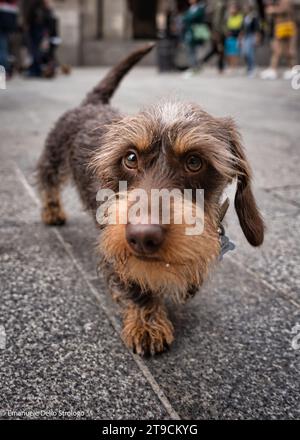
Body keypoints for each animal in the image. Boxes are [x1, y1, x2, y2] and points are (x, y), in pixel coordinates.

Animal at [38, 43, 264, 354]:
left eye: (195, 162)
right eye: (130, 158)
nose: (143, 236)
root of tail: (91, 103)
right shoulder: (117, 250)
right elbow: (135, 284)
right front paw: (147, 323)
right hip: (54, 154)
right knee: (47, 180)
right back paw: (51, 211)